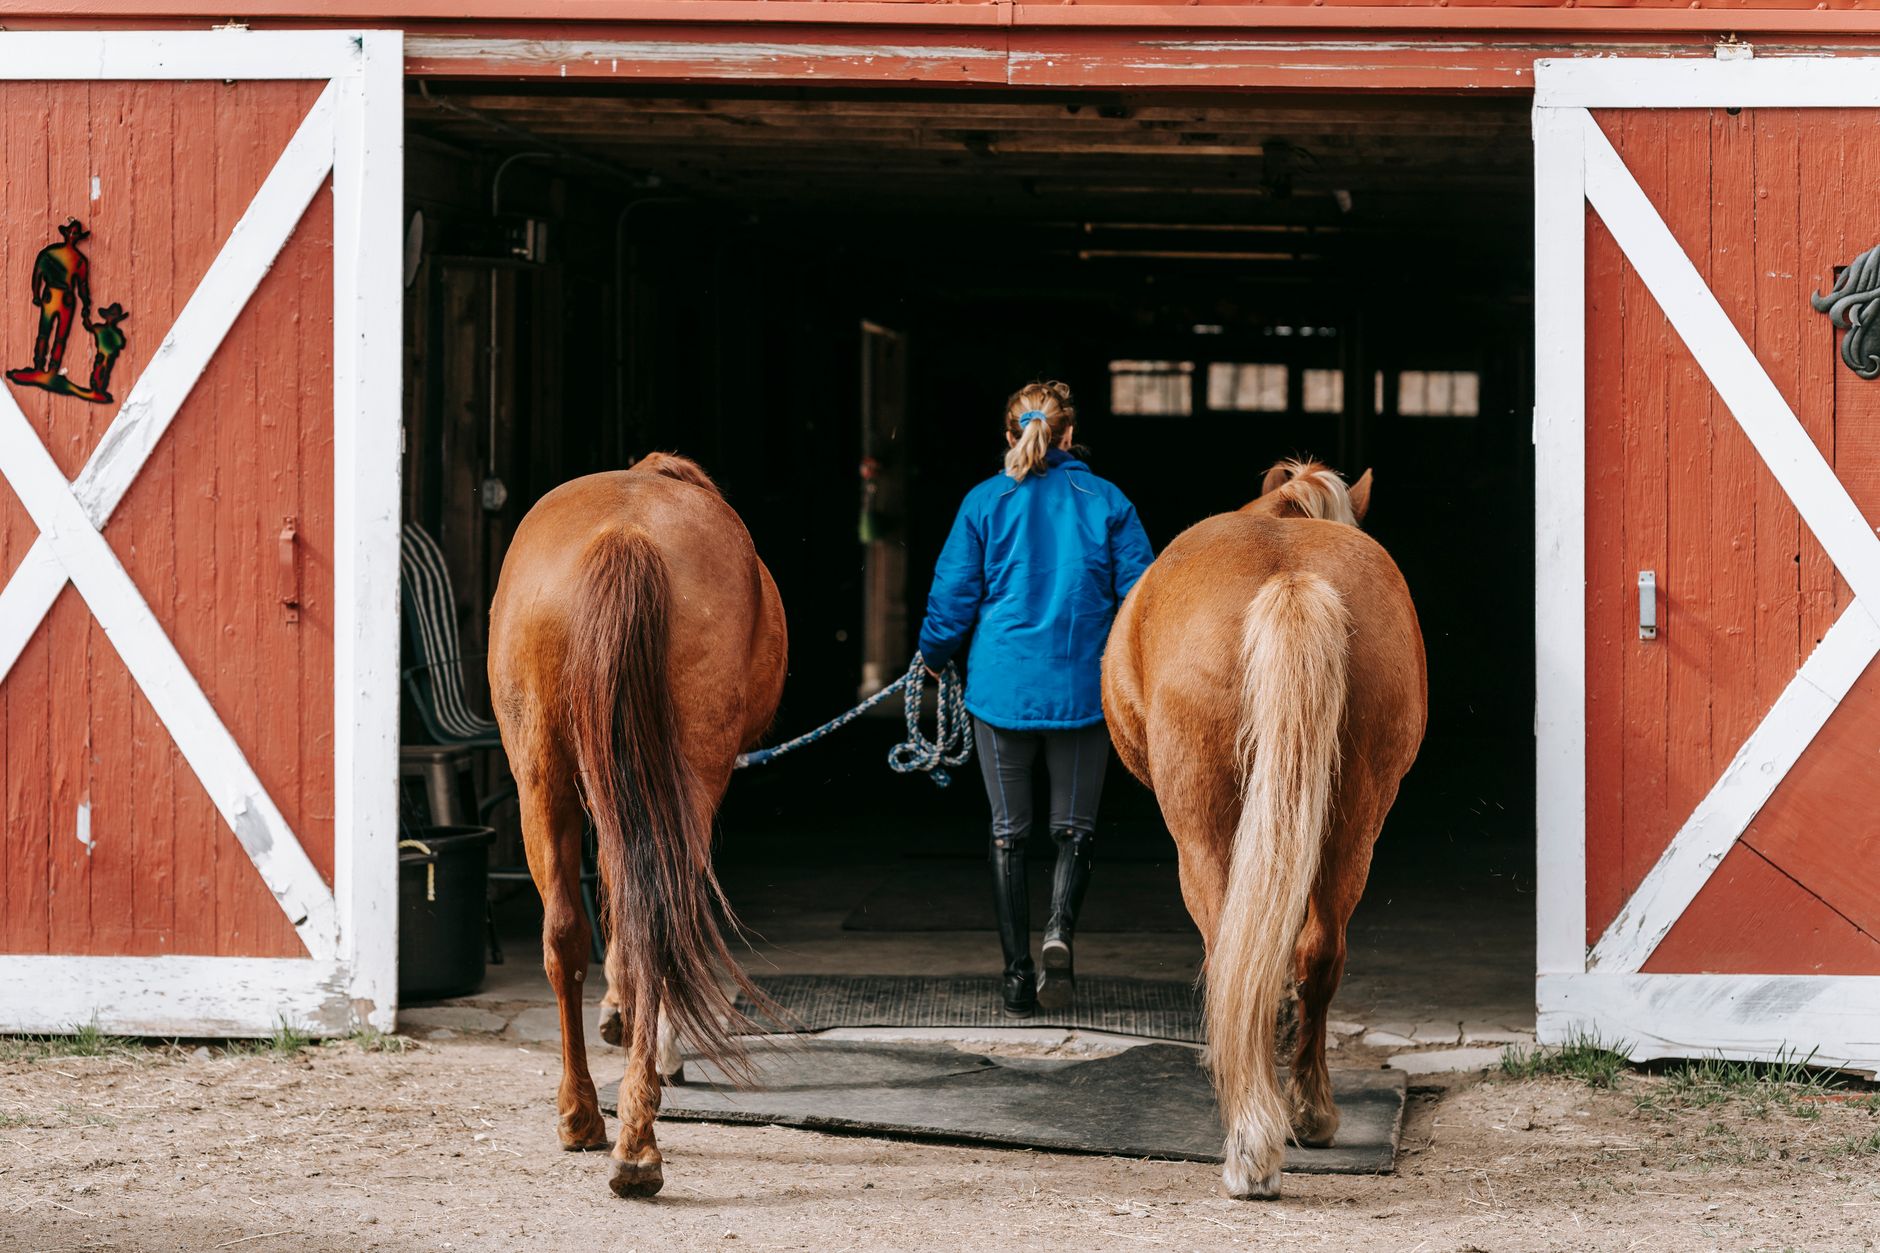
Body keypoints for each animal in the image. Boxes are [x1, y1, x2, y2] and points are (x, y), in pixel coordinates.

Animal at [487, 452, 787, 1198]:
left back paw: (585, 1118)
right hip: (689, 780)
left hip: (540, 777)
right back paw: (636, 1138)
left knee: (565, 933)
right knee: (661, 925)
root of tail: (626, 536)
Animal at [1101, 458, 1426, 1199]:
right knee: (1318, 951)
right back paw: (1307, 1113)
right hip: (1353, 824)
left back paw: (1251, 1145)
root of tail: (1290, 578)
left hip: (1201, 833)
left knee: (1228, 948)